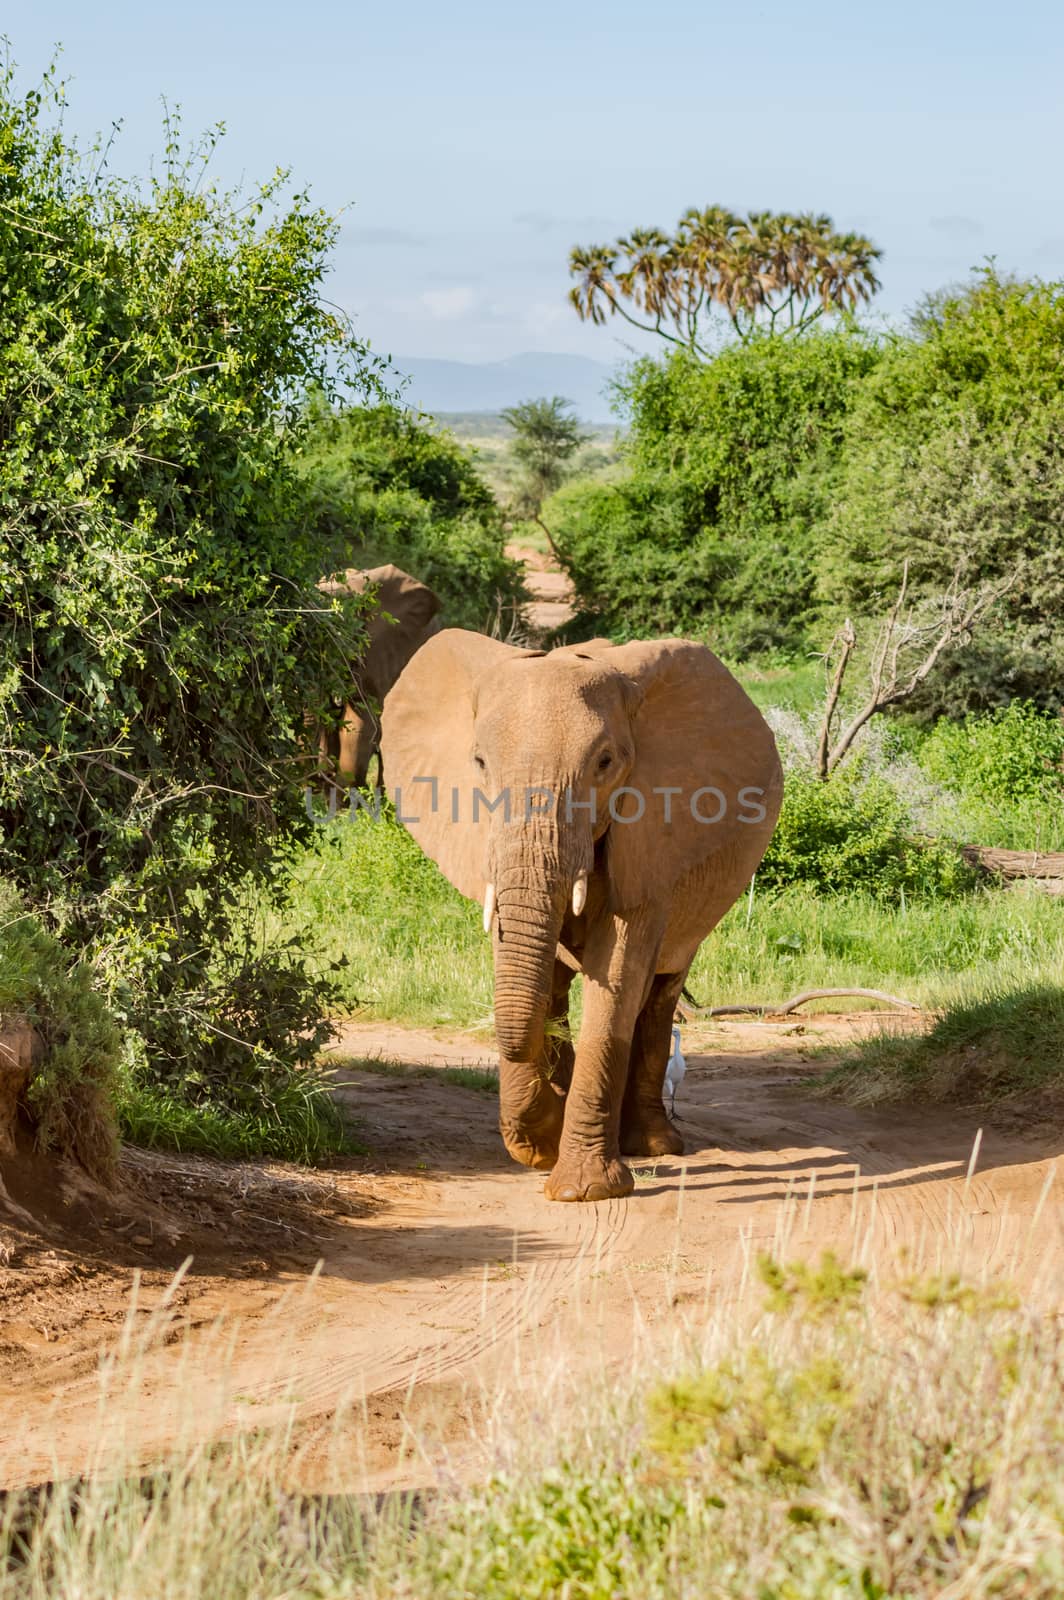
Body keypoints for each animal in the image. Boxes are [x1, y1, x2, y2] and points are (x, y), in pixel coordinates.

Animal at [382, 624, 780, 1203]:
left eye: (605, 763)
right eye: (479, 763)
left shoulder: (654, 833)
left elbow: (617, 972)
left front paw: (583, 1190)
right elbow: (527, 965)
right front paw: (540, 1144)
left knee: (659, 991)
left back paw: (654, 1144)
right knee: (564, 985)